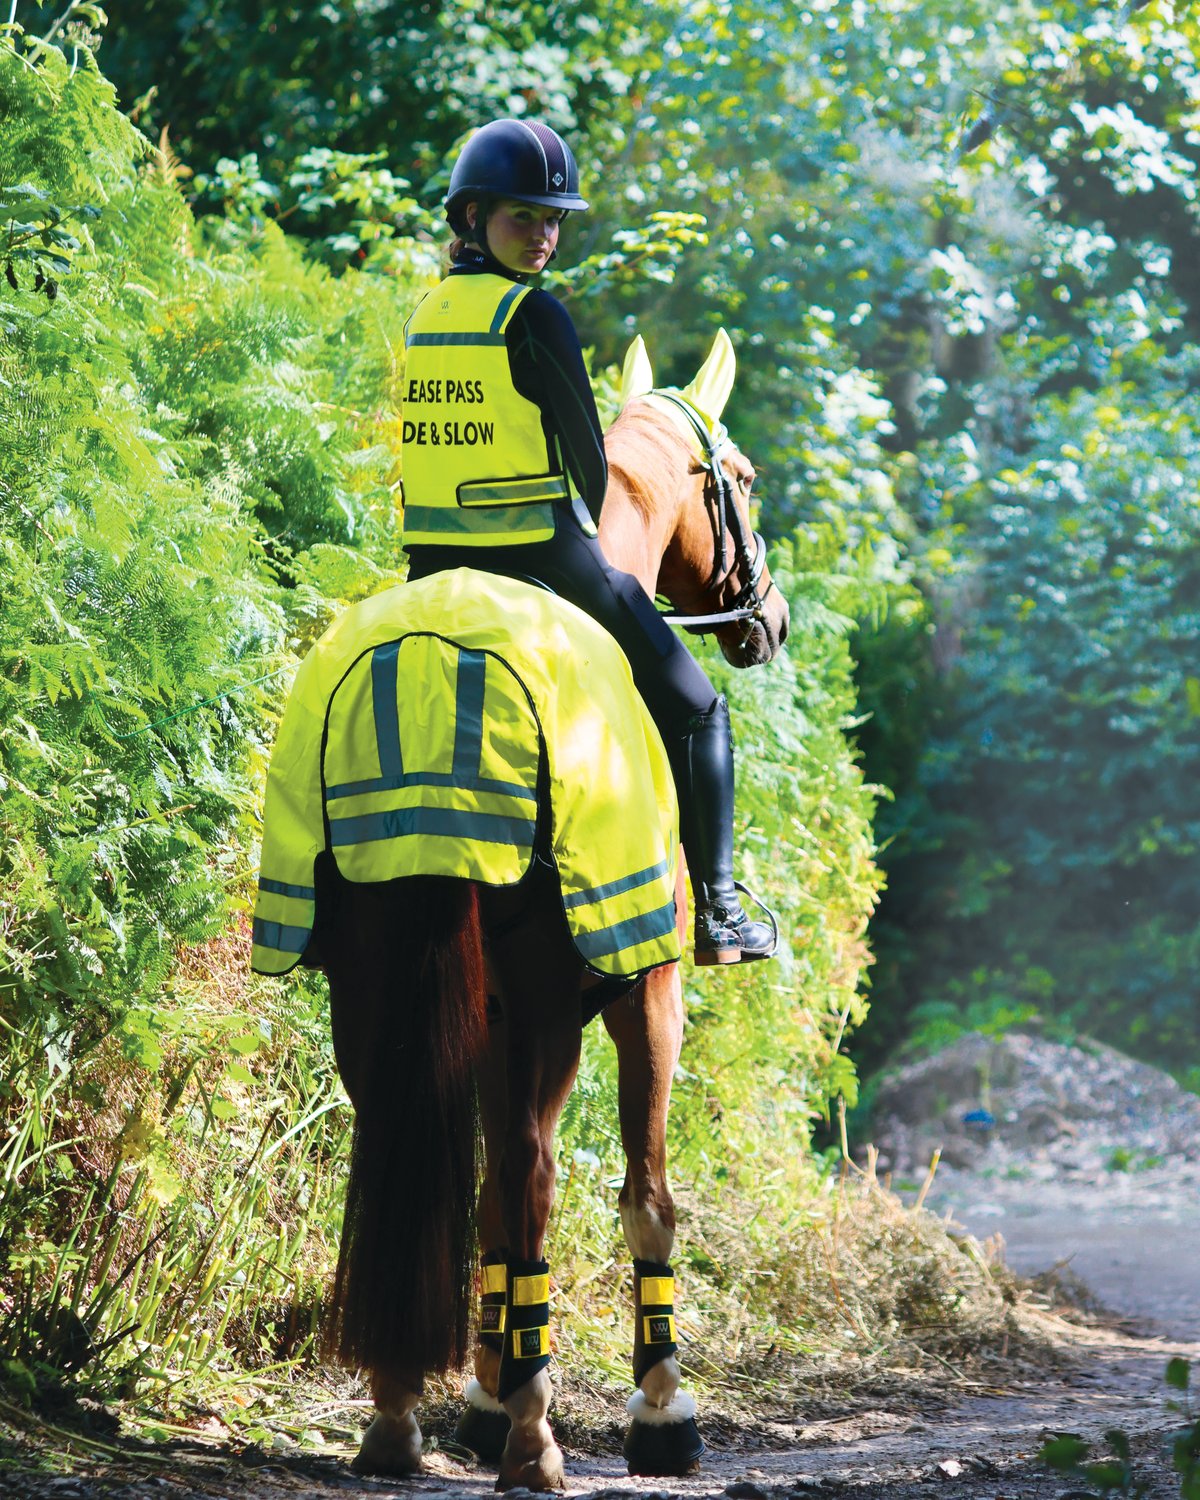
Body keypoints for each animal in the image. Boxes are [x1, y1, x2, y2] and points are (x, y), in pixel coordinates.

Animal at [260, 330, 790, 1490]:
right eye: (741, 479)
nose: (766, 618)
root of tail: (427, 673)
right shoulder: (641, 995)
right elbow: (642, 1197)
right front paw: (655, 1411)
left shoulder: (499, 1013)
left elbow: (490, 1207)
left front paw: (485, 1394)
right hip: (556, 993)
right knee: (537, 1176)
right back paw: (537, 1445)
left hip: (381, 984)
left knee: (420, 1157)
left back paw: (398, 1419)